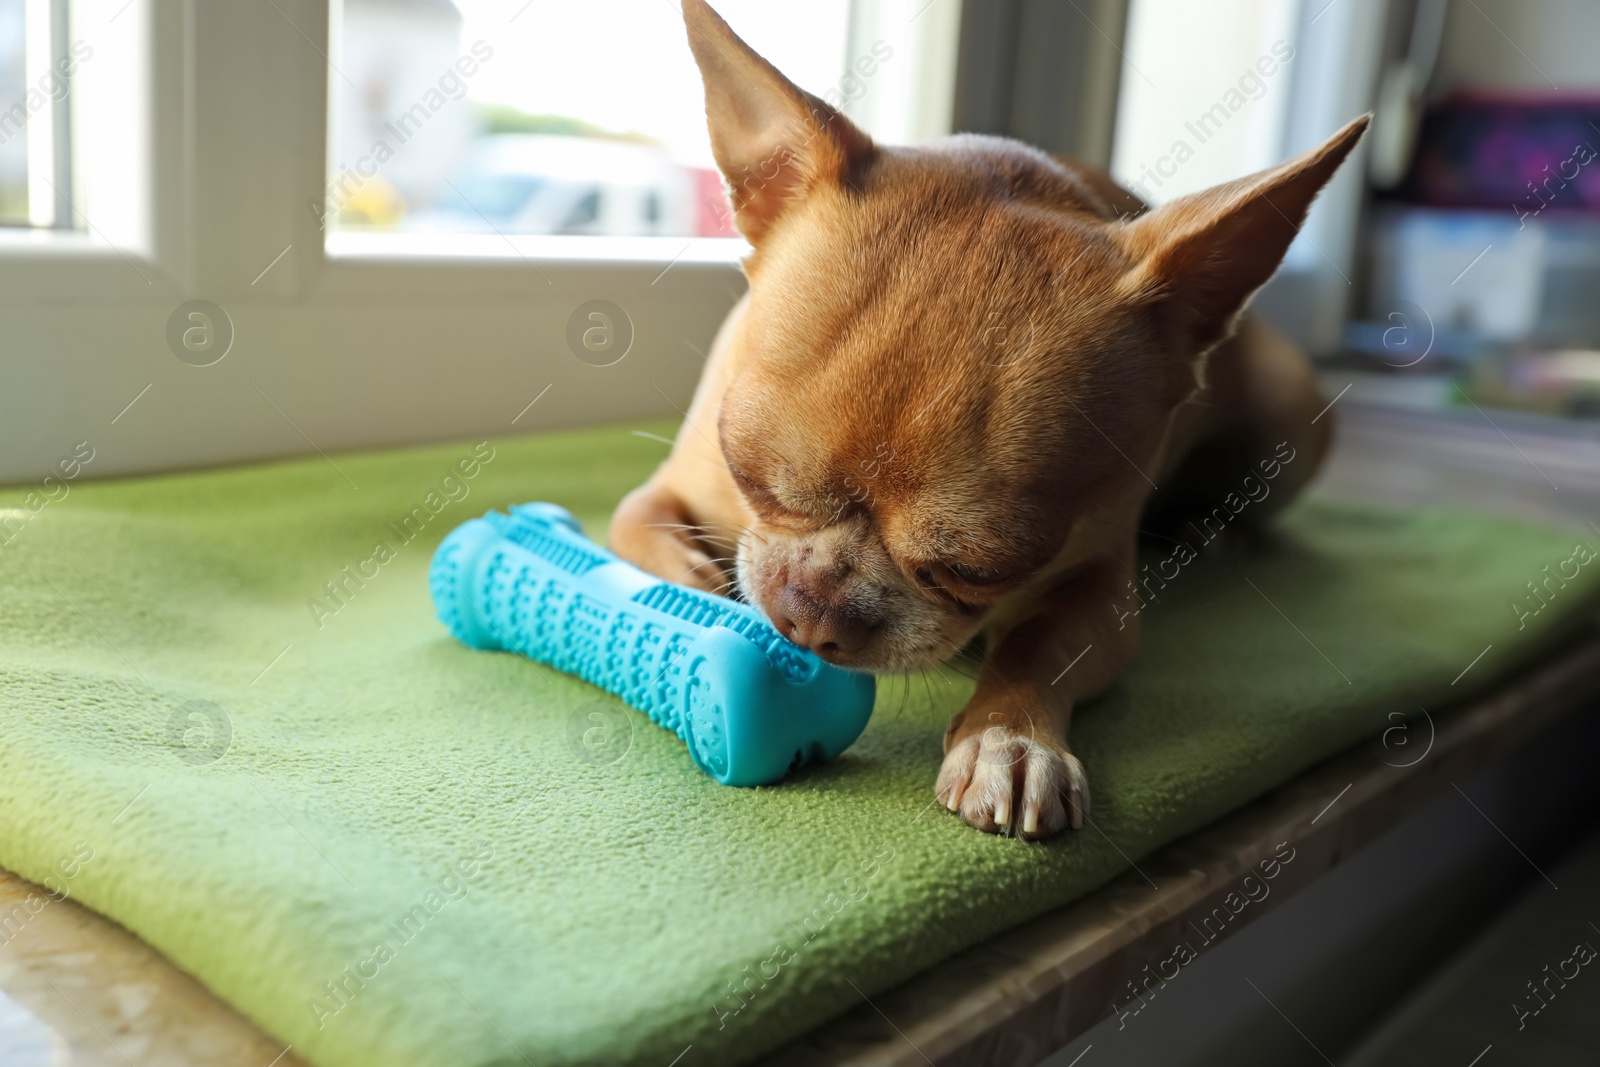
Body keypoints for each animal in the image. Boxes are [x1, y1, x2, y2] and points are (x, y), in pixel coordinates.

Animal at [604, 0, 1369, 844]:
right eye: (749, 474)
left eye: (978, 569)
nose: (809, 614)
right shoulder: (673, 491)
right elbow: (640, 530)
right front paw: (692, 596)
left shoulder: (1099, 590)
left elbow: (1036, 645)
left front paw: (1011, 739)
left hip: (1291, 419)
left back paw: (1219, 526)